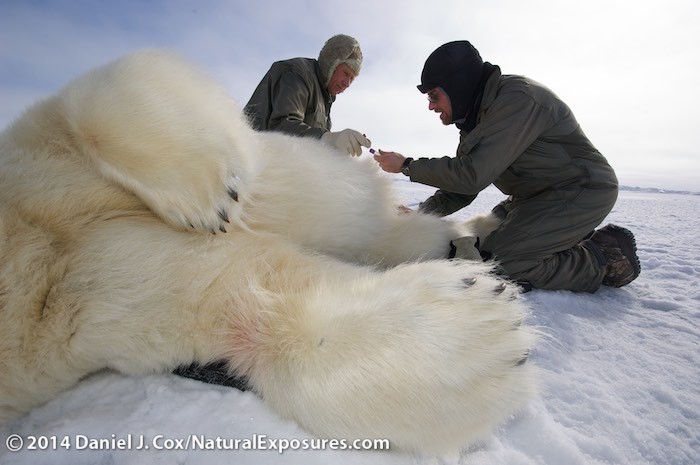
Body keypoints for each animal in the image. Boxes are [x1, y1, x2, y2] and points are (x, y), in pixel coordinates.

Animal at [0, 49, 536, 454]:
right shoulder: (92, 318)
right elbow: (239, 312)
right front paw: (483, 328)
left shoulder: (41, 175)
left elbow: (101, 94)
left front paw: (210, 195)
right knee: (408, 237)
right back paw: (471, 243)